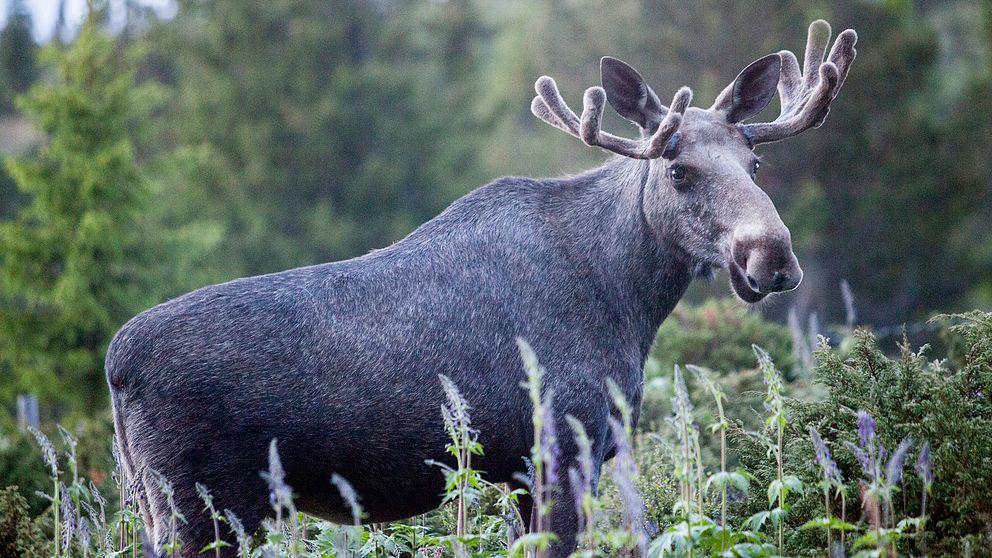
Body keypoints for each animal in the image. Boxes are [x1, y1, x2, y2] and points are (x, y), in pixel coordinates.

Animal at [106, 19, 852, 556]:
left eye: (755, 163)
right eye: (678, 171)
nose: (771, 256)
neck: (629, 302)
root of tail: (116, 366)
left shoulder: (524, 469)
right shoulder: (561, 447)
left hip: (158, 505)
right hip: (200, 508)